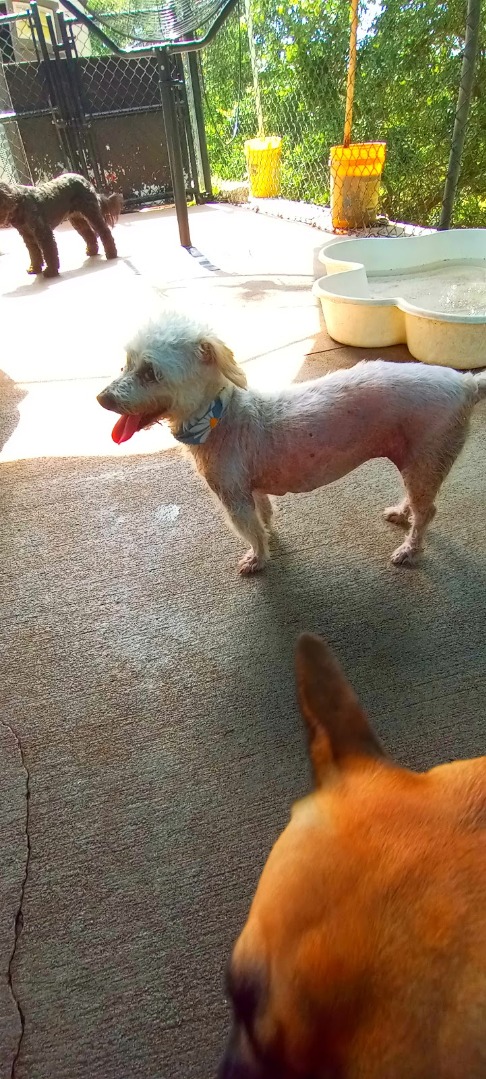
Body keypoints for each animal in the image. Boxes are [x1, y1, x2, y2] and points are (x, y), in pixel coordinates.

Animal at [96, 310, 486, 575]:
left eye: (150, 372)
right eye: (125, 364)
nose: (102, 399)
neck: (220, 418)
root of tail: (466, 383)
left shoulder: (233, 498)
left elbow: (250, 530)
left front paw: (258, 558)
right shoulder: (252, 488)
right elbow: (264, 517)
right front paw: (270, 538)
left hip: (428, 458)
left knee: (427, 512)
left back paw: (410, 550)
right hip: (416, 461)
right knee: (417, 500)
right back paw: (402, 513)